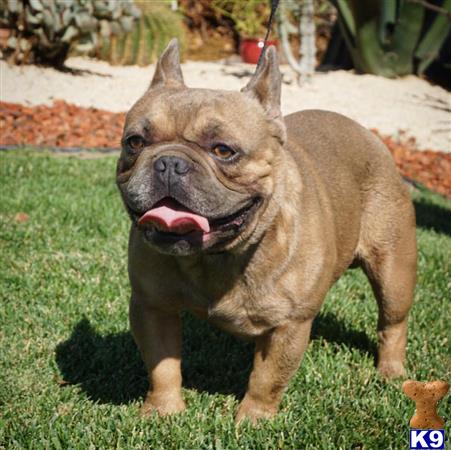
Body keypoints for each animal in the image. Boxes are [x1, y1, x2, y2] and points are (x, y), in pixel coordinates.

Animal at [116, 40, 416, 424]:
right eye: (135, 143)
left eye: (223, 150)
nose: (169, 162)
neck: (216, 257)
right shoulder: (152, 306)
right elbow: (162, 365)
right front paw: (163, 410)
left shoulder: (288, 326)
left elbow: (268, 377)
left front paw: (253, 419)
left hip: (393, 271)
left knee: (393, 322)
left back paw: (391, 371)